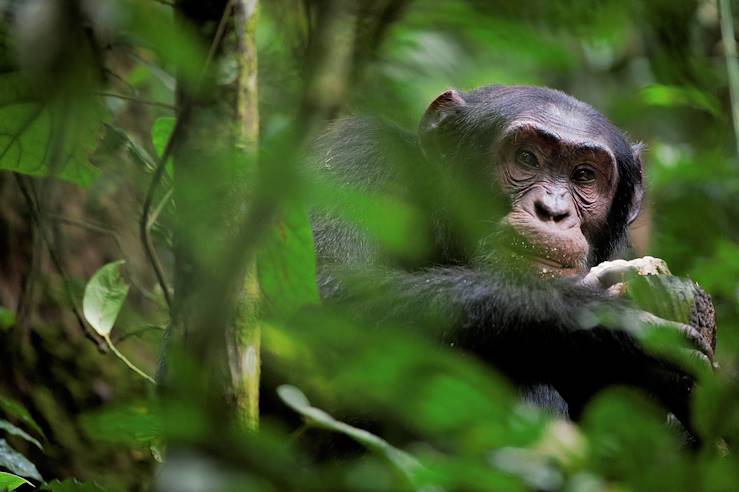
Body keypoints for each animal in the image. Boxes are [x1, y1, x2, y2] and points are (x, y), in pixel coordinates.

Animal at [310, 87, 716, 430]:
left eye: (584, 176)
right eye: (527, 158)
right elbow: (325, 293)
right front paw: (608, 322)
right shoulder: (356, 155)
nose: (552, 211)